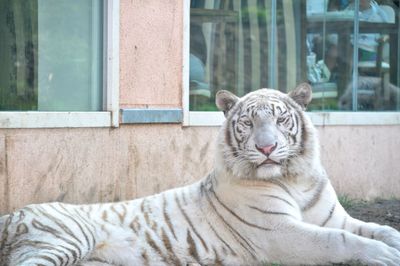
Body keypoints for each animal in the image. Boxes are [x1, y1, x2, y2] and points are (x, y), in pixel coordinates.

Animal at [0, 83, 400, 266]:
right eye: (248, 123)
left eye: (280, 119)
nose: (267, 148)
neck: (293, 178)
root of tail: (11, 214)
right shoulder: (278, 233)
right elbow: (337, 240)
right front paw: (382, 255)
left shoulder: (334, 217)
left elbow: (377, 228)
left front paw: (389, 242)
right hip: (63, 238)